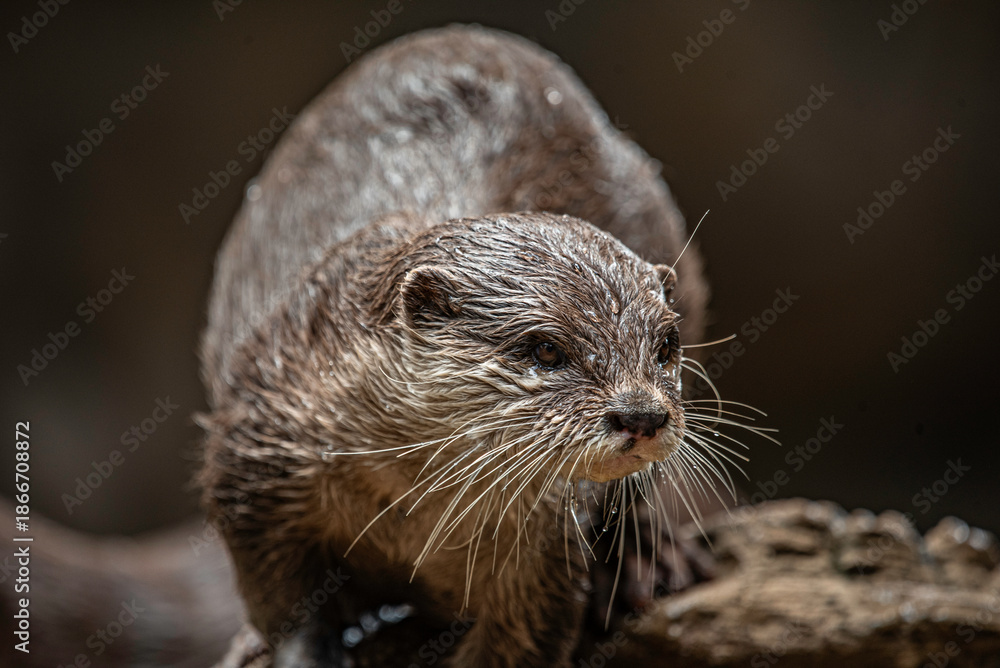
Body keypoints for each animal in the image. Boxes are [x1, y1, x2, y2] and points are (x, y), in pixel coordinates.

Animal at [200, 25, 735, 667]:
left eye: (665, 344)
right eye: (545, 349)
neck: (408, 512)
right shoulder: (258, 448)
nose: (642, 414)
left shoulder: (545, 557)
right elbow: (280, 599)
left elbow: (523, 639)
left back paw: (645, 562)